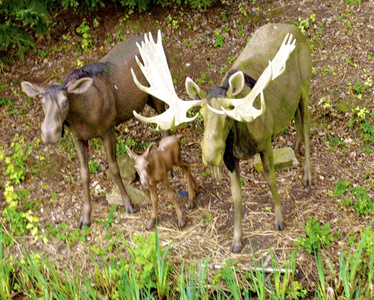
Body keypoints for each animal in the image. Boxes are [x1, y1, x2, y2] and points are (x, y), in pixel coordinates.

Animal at [20, 34, 166, 227]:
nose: (49, 134)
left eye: (65, 101)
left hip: (156, 90)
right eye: (41, 101)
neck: (82, 116)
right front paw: (85, 217)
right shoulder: (78, 138)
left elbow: (114, 168)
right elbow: (84, 174)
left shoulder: (108, 128)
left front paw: (128, 204)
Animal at [130, 24, 312, 253]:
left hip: (306, 84)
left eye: (228, 113)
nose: (210, 155)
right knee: (295, 116)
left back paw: (307, 175)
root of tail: (295, 29)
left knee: (306, 125)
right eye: (201, 114)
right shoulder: (230, 158)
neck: (243, 138)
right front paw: (237, 240)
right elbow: (236, 196)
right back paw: (296, 149)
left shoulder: (265, 143)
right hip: (293, 98)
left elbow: (271, 180)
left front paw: (279, 221)